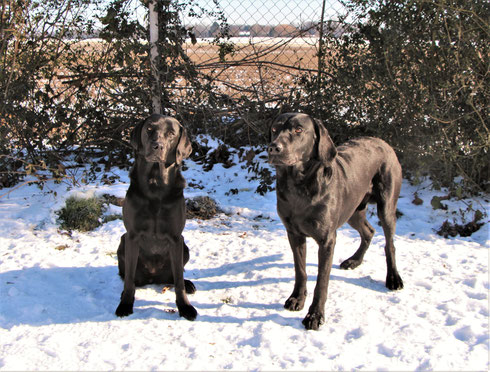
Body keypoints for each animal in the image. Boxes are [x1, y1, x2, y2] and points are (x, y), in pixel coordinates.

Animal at [115, 113, 197, 320]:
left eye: (171, 134)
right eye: (149, 129)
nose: (157, 146)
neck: (155, 184)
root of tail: (153, 277)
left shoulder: (176, 238)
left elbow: (178, 281)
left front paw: (185, 307)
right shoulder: (132, 236)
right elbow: (129, 280)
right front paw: (125, 304)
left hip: (185, 247)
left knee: (175, 276)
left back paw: (188, 284)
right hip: (122, 241)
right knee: (128, 276)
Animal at [268, 112, 402, 330]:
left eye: (298, 129)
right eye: (274, 129)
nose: (273, 148)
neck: (299, 185)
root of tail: (382, 142)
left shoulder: (327, 240)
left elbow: (322, 281)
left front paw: (315, 315)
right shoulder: (294, 234)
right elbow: (300, 271)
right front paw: (297, 299)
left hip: (387, 205)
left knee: (389, 245)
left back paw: (393, 278)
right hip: (353, 210)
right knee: (369, 231)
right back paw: (354, 260)